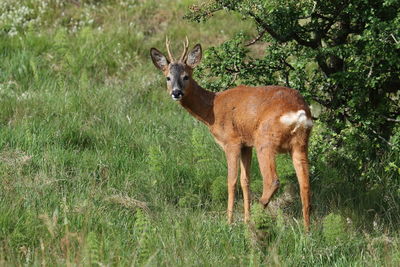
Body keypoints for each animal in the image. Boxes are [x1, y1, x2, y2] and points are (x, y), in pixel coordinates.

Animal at [150, 36, 312, 231]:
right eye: (168, 77)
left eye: (186, 76)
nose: (176, 92)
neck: (211, 110)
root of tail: (300, 113)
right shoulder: (246, 144)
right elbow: (245, 180)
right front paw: (245, 218)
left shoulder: (231, 141)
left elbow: (231, 180)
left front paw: (229, 221)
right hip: (300, 143)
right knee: (305, 184)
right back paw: (306, 230)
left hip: (265, 140)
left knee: (272, 180)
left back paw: (257, 219)